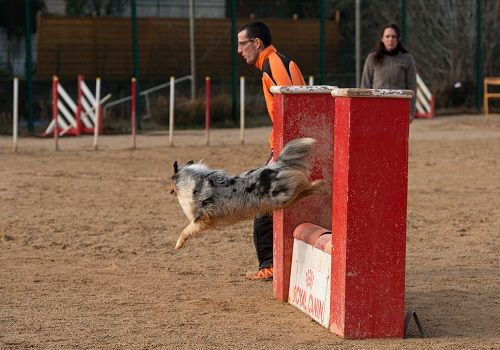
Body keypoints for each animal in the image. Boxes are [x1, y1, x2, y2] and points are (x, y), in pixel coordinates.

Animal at [166, 137, 326, 249]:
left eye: (170, 180)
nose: (167, 190)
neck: (190, 182)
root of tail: (276, 165)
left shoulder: (200, 218)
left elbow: (185, 230)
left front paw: (178, 245)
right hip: (285, 200)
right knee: (304, 190)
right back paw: (321, 187)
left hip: (282, 197)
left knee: (304, 185)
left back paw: (322, 185)